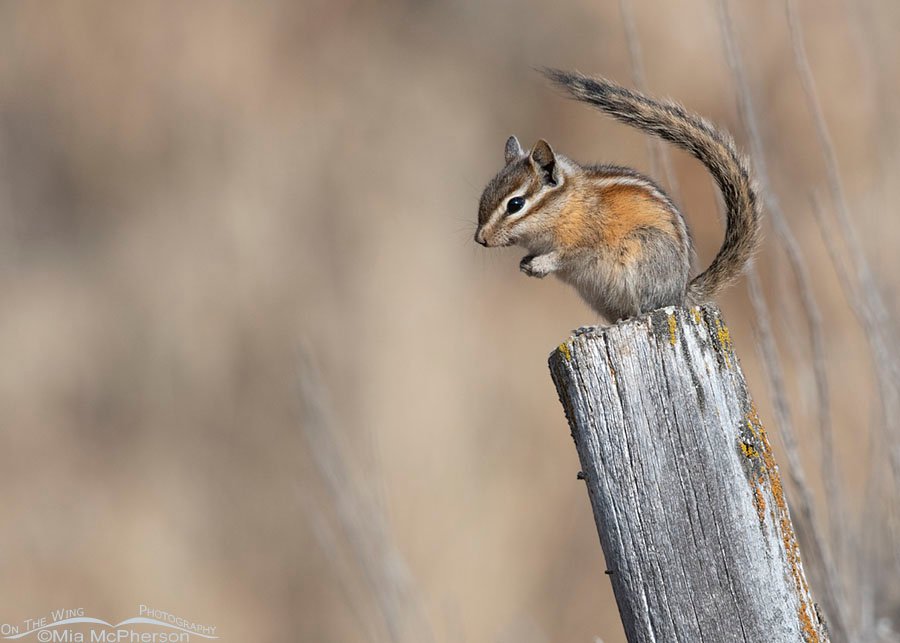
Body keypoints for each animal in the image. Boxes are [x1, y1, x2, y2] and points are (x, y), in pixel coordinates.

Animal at [475, 69, 760, 322]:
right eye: (483, 195)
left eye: (515, 204)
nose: (480, 239)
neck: (567, 205)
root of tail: (680, 294)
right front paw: (525, 263)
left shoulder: (586, 241)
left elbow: (566, 255)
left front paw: (540, 264)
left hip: (644, 254)